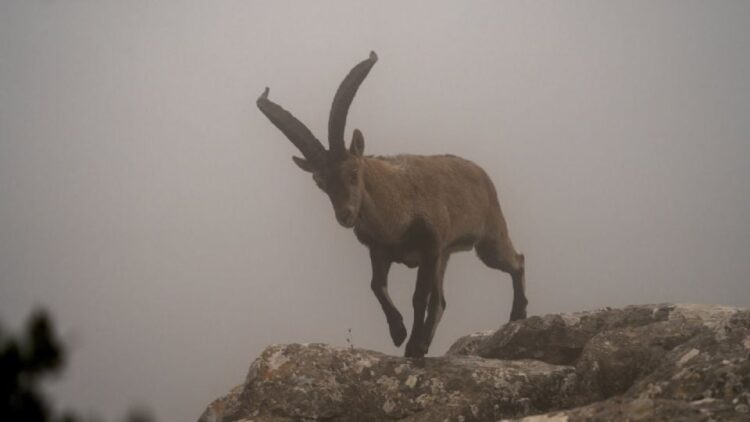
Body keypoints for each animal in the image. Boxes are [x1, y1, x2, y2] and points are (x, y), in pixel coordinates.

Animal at [257, 52, 526, 358]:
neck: (393, 216)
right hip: (447, 255)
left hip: (488, 240)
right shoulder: (379, 250)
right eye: (320, 183)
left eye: (353, 173)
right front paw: (399, 333)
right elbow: (376, 285)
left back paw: (517, 315)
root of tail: (482, 174)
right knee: (441, 302)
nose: (345, 215)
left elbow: (419, 298)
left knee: (516, 261)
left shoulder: (430, 247)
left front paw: (410, 345)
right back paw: (426, 343)